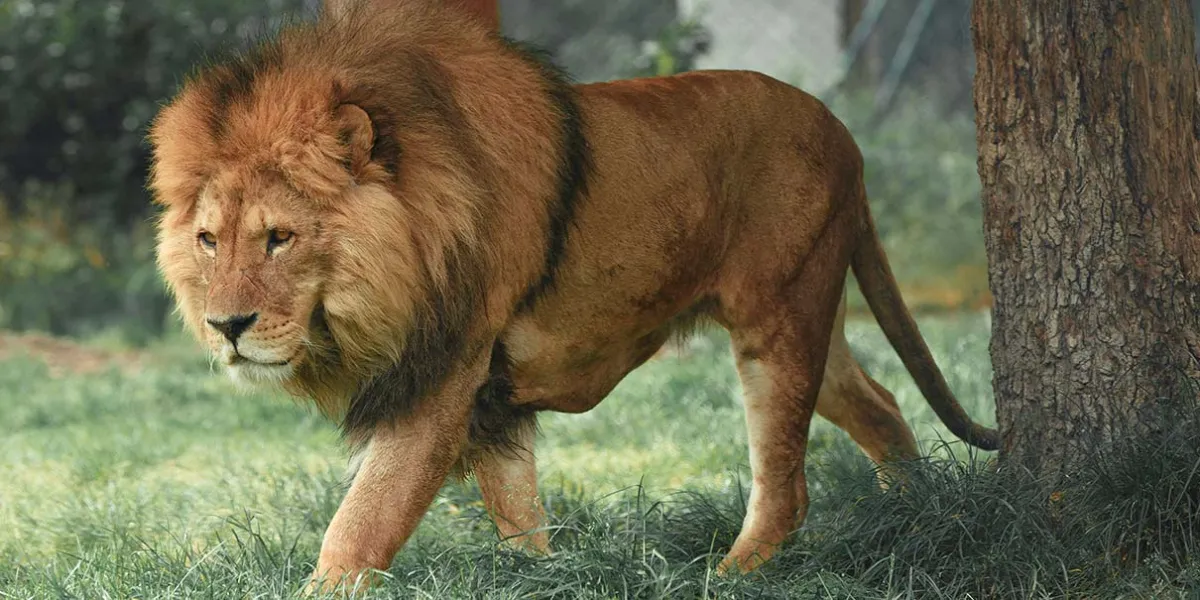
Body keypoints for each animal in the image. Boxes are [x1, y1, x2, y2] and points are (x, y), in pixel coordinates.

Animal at [147, 0, 1000, 593]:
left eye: (280, 237)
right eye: (209, 240)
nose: (226, 327)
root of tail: (842, 132)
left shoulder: (443, 377)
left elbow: (363, 521)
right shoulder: (487, 396)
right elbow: (517, 510)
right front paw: (546, 578)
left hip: (779, 318)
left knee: (786, 484)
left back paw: (728, 578)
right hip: (808, 313)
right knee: (880, 403)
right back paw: (914, 515)